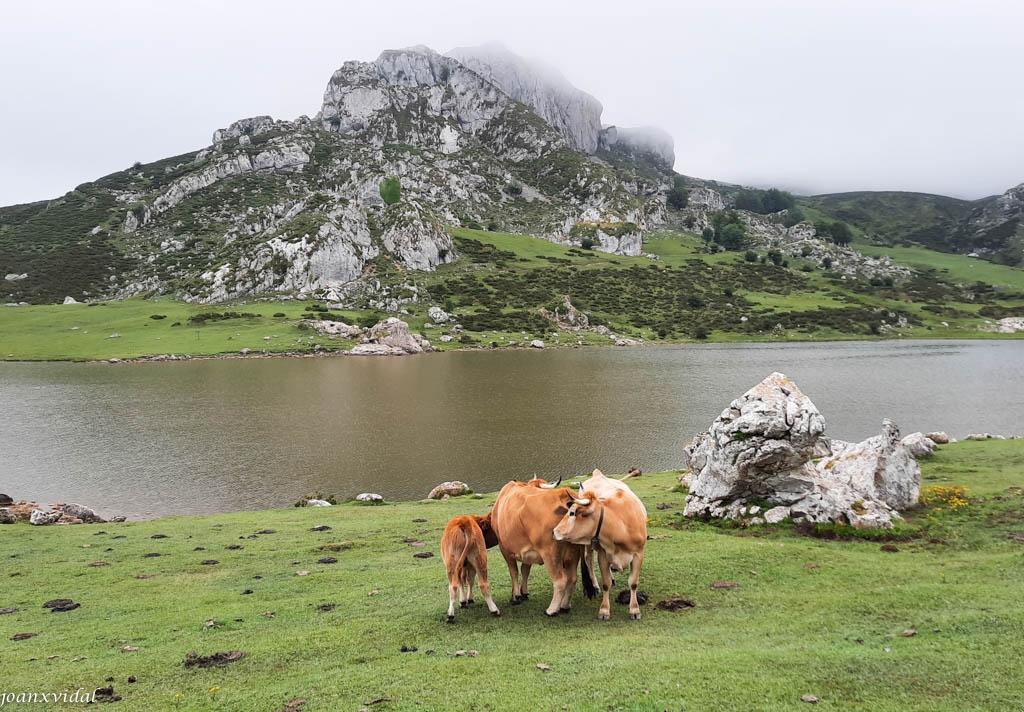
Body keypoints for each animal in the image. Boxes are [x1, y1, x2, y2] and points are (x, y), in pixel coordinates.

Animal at [552, 467, 647, 618]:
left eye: (572, 513)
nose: (554, 531)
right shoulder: (603, 555)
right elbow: (605, 583)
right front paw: (604, 610)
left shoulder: (638, 554)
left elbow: (633, 583)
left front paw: (634, 609)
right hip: (588, 545)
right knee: (589, 559)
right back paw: (595, 585)